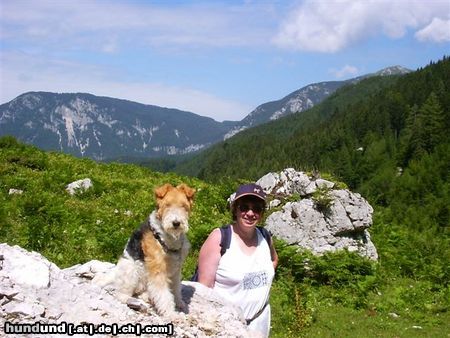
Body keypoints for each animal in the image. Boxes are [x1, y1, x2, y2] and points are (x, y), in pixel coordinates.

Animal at [94, 182, 194, 316]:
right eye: (167, 205)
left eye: (184, 206)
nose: (176, 223)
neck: (168, 237)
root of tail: (115, 274)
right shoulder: (158, 268)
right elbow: (164, 295)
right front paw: (171, 314)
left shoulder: (176, 269)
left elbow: (176, 289)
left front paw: (179, 303)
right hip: (131, 271)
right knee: (121, 294)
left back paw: (147, 297)